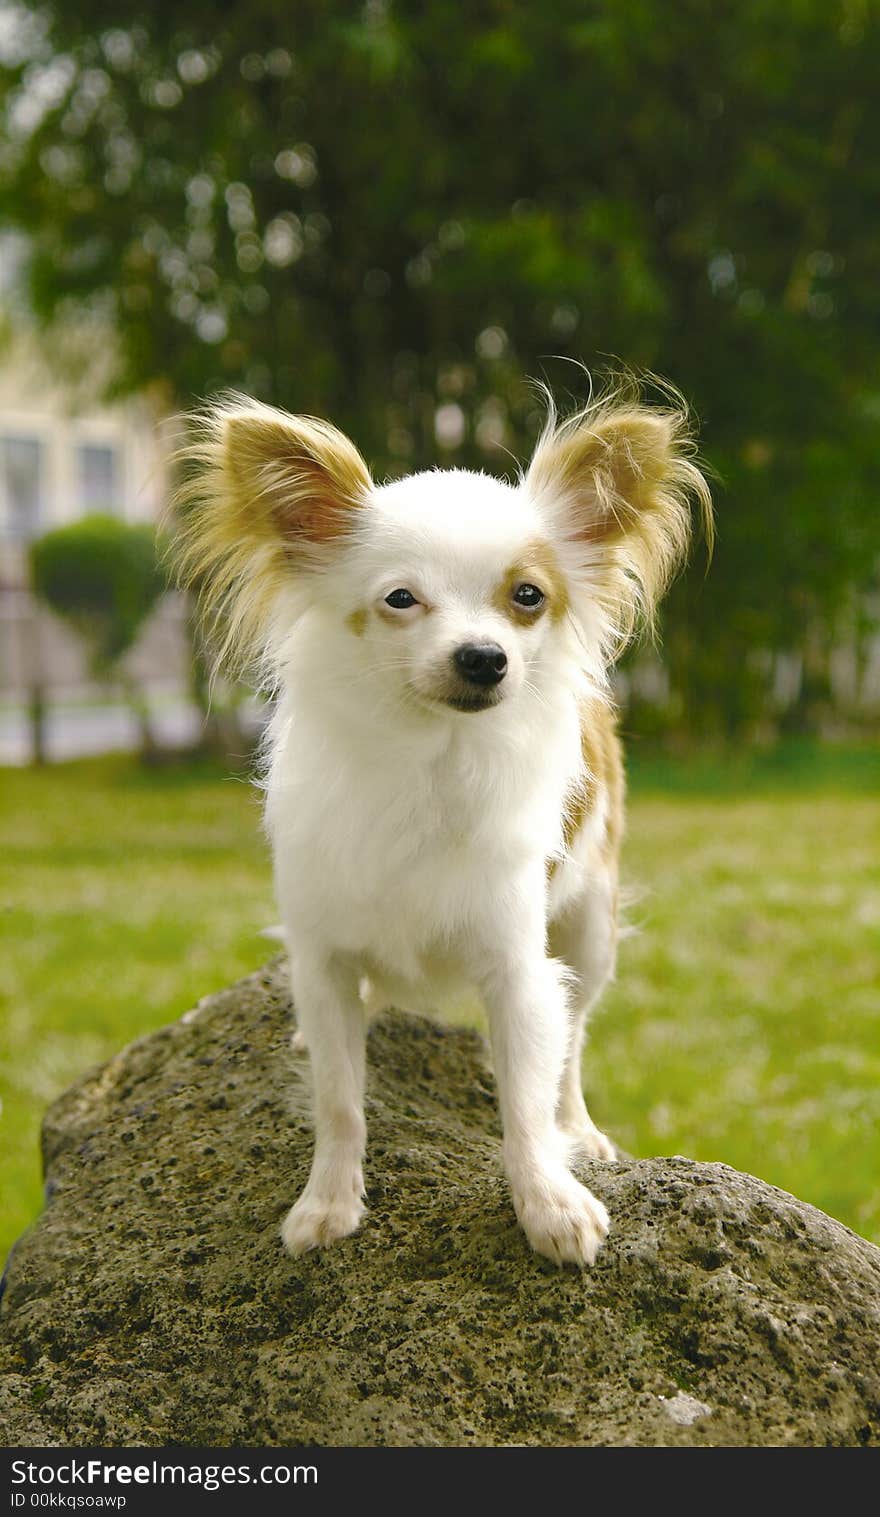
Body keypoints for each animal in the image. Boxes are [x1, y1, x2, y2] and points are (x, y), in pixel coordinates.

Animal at [175, 376, 710, 1268]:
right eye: (401, 598)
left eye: (527, 597)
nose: (483, 657)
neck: (428, 760)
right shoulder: (321, 958)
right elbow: (339, 1098)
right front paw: (329, 1201)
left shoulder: (518, 965)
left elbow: (526, 1100)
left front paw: (547, 1201)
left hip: (589, 929)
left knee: (572, 1039)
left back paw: (581, 1129)